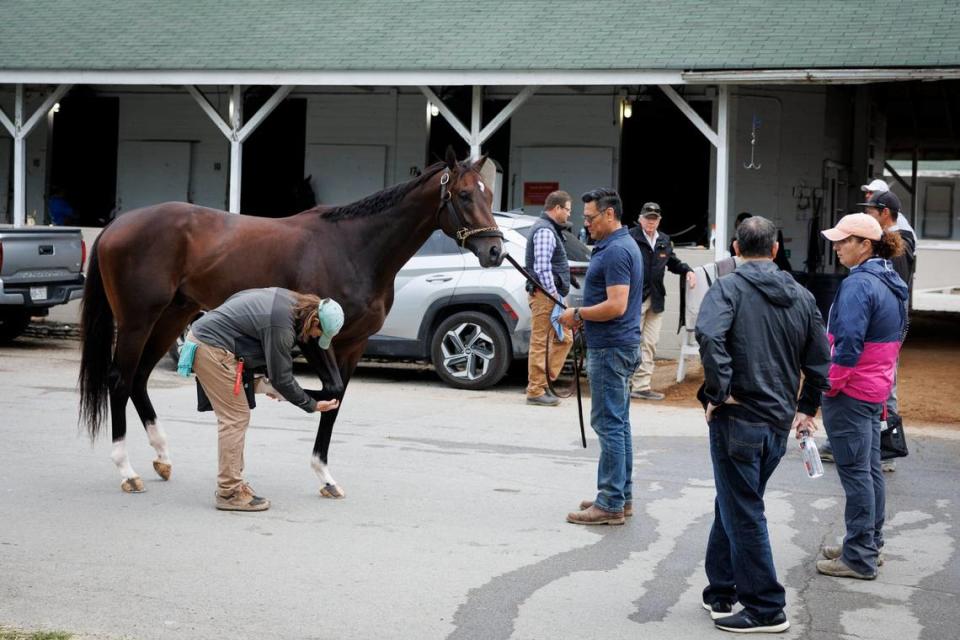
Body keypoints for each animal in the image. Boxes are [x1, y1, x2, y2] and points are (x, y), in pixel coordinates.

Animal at [77, 150, 502, 496]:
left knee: (139, 378)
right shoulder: (316, 339)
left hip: (172, 316)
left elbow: (338, 397)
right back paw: (127, 471)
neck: (354, 248)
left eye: (489, 195)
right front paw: (270, 388)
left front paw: (325, 476)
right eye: (465, 195)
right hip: (137, 320)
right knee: (120, 379)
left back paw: (162, 457)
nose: (495, 250)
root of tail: (117, 226)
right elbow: (329, 390)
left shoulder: (352, 344)